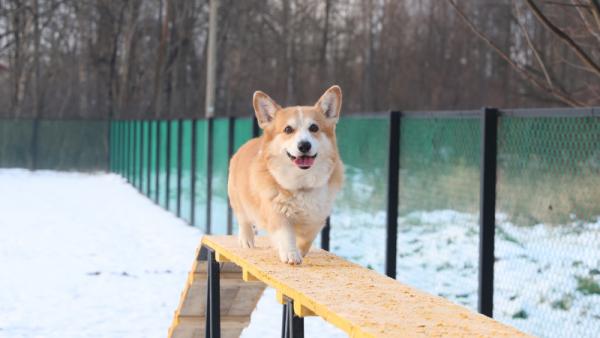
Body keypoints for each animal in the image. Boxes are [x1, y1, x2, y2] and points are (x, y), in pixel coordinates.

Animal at [227, 86, 344, 266]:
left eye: (314, 128)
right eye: (288, 129)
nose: (304, 145)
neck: (301, 181)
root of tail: (247, 143)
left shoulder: (318, 217)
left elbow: (307, 237)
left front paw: (300, 251)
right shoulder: (276, 212)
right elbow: (286, 234)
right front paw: (291, 254)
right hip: (237, 198)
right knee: (243, 218)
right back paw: (247, 239)